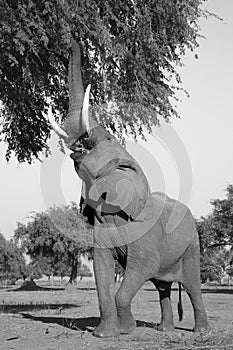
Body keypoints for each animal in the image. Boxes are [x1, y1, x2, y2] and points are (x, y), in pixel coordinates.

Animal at [46, 39, 208, 338]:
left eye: (108, 137)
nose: (71, 40)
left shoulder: (145, 233)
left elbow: (139, 269)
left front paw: (126, 330)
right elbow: (102, 269)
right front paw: (105, 333)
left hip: (192, 245)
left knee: (192, 286)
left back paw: (201, 331)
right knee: (163, 287)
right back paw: (164, 330)